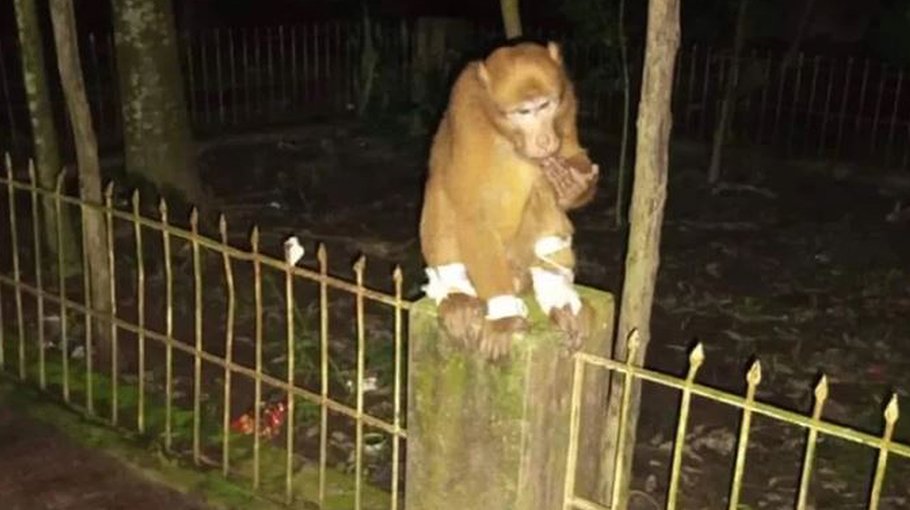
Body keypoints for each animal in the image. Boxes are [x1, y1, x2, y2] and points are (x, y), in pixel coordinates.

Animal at [419, 41, 599, 360]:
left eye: (546, 106)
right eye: (524, 112)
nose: (545, 140)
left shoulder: (567, 101)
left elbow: (570, 155)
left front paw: (574, 187)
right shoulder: (467, 107)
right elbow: (471, 209)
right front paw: (503, 317)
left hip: (521, 255)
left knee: (542, 183)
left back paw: (558, 292)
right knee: (439, 188)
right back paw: (456, 293)